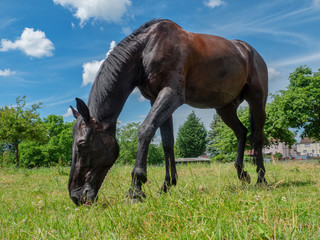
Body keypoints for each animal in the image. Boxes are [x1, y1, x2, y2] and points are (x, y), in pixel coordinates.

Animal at [68, 19, 268, 205]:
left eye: (82, 144)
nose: (76, 196)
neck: (147, 48)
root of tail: (249, 51)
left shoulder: (171, 95)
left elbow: (146, 130)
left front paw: (135, 190)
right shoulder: (156, 99)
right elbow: (167, 142)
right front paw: (167, 185)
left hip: (257, 100)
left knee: (257, 137)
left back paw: (261, 180)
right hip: (225, 108)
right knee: (242, 132)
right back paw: (242, 174)